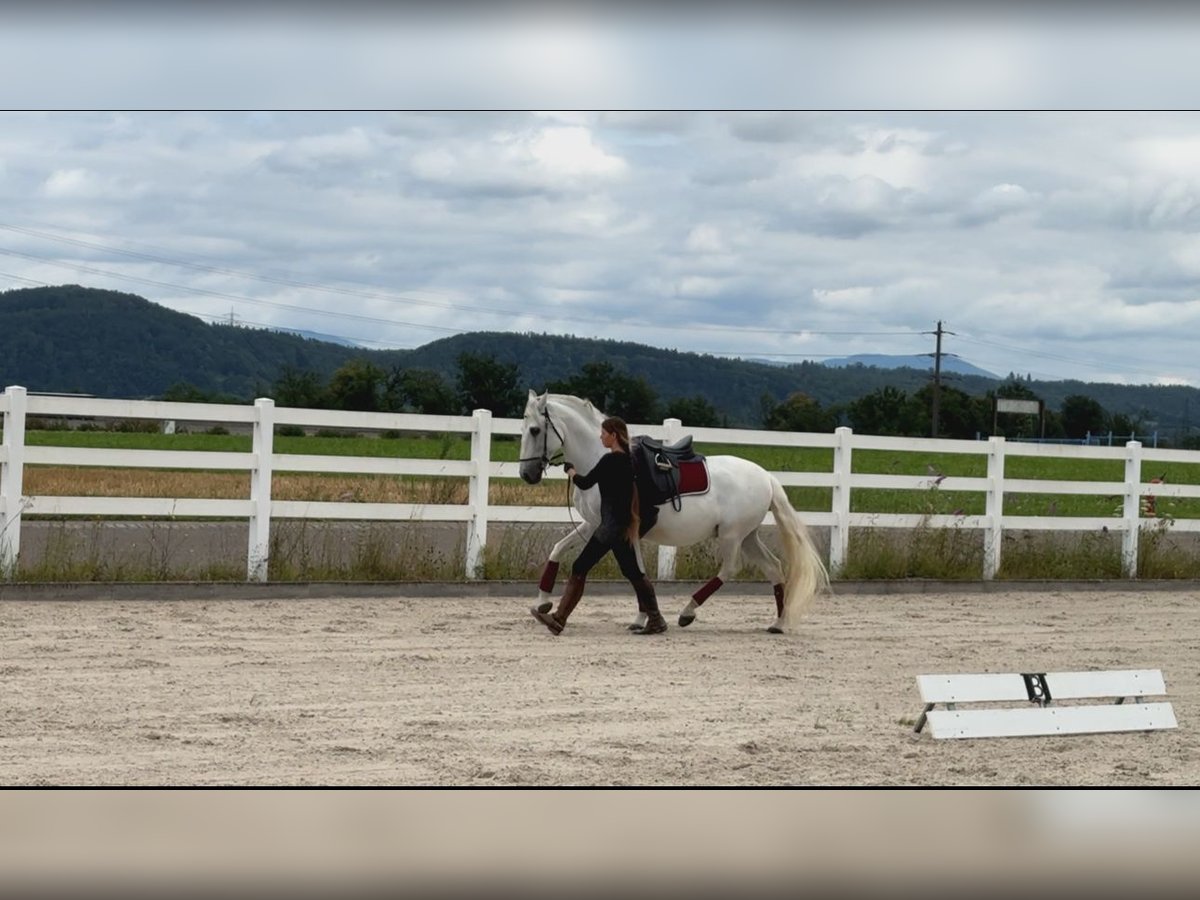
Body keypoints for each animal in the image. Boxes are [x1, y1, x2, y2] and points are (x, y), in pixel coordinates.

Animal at [520, 393, 830, 633]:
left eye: (535, 430)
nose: (527, 474)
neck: (601, 460)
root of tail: (766, 477)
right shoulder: (594, 524)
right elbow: (560, 550)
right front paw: (543, 602)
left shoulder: (613, 528)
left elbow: (633, 571)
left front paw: (644, 619)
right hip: (749, 536)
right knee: (774, 567)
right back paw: (778, 623)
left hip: (731, 536)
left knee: (730, 568)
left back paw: (688, 612)